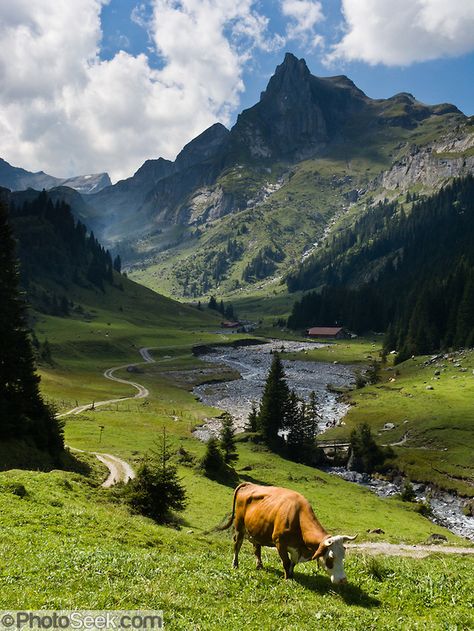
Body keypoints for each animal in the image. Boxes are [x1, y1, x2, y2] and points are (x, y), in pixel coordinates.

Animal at [218, 484, 356, 584]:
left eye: (343, 555)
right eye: (331, 558)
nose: (343, 580)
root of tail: (248, 484)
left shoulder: (296, 549)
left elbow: (292, 564)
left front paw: (292, 576)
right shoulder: (280, 543)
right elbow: (286, 562)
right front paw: (286, 579)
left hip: (256, 531)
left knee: (256, 549)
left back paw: (260, 566)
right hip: (239, 527)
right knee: (237, 546)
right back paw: (235, 565)